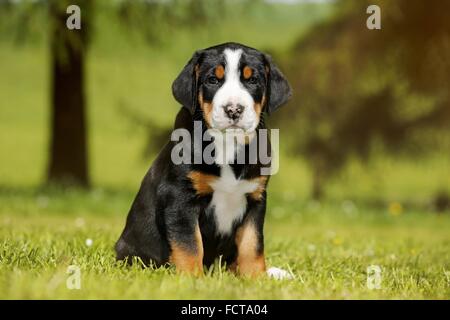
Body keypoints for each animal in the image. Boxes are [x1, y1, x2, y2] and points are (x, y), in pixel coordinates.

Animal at [114, 42, 294, 278]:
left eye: (252, 80)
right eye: (212, 80)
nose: (233, 109)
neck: (227, 145)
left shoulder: (255, 198)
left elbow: (252, 244)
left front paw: (255, 278)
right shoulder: (179, 198)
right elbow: (189, 244)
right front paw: (192, 278)